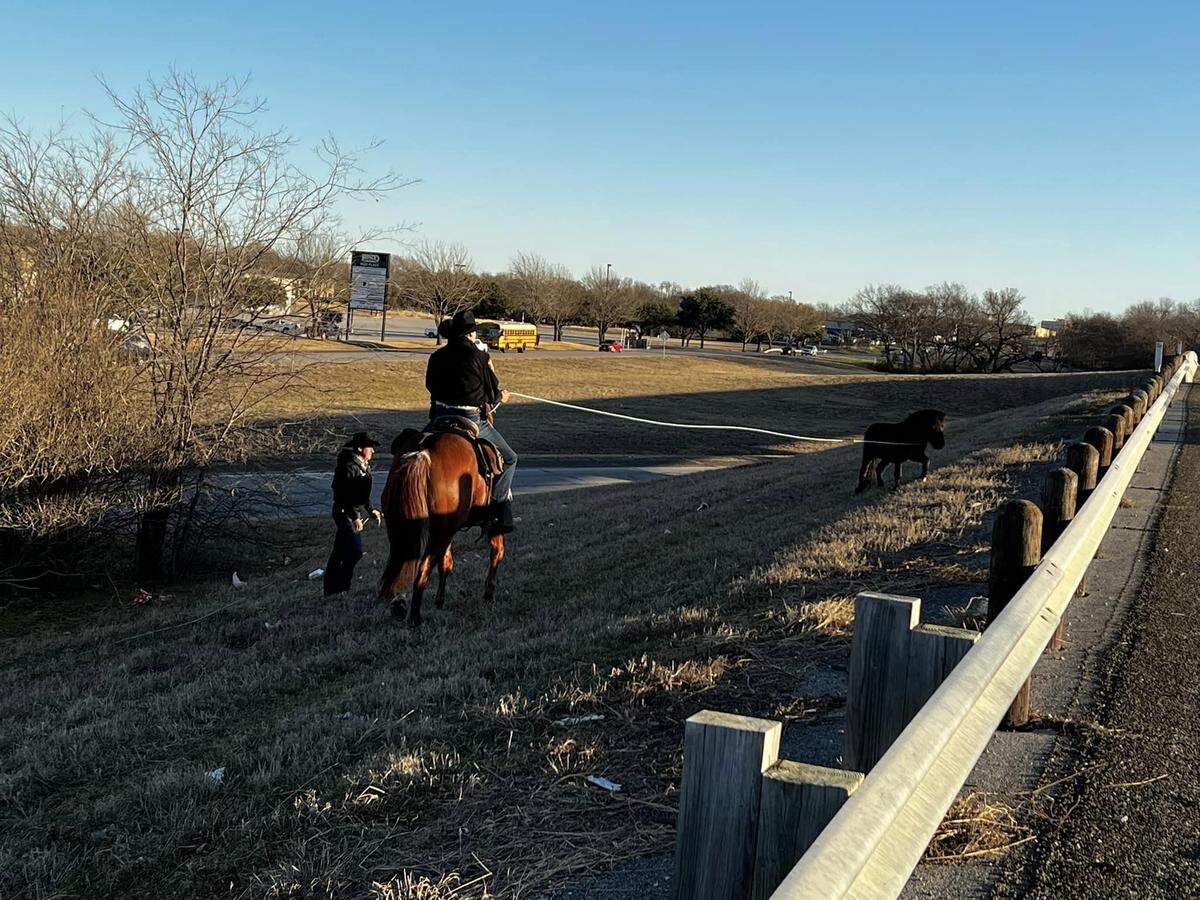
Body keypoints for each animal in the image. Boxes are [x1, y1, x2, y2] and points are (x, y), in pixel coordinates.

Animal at [378, 430, 504, 629]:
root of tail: (423, 452)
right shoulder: (491, 523)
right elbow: (497, 551)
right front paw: (489, 593)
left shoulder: (448, 532)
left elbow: (446, 563)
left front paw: (439, 601)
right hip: (440, 535)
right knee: (423, 568)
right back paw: (415, 618)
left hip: (403, 529)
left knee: (402, 560)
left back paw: (399, 605)